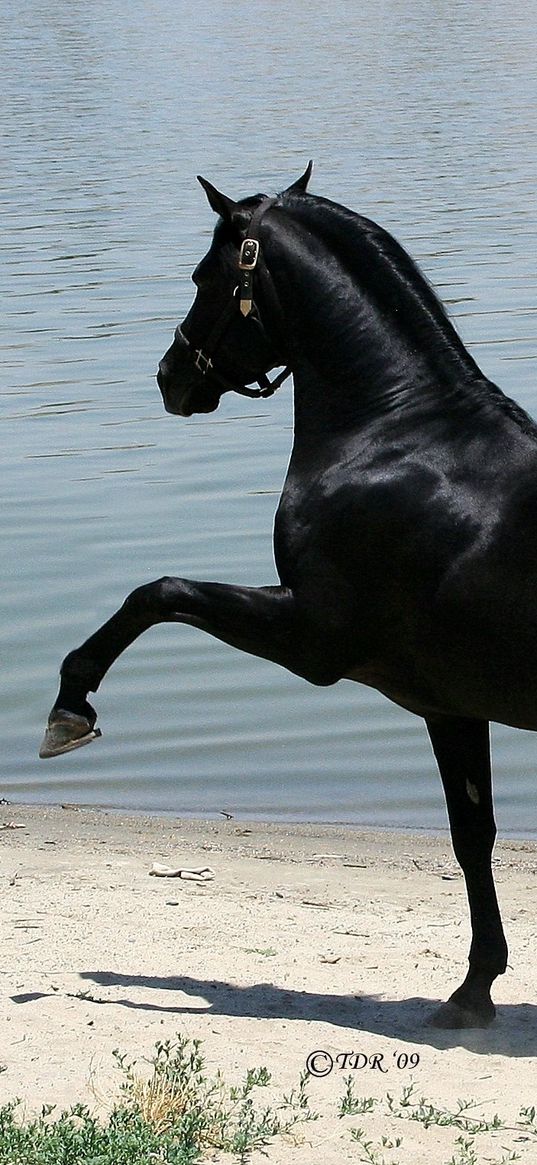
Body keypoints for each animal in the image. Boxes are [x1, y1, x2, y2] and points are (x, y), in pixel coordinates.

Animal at [41, 166, 535, 1029]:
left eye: (203, 277)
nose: (170, 376)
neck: (400, 434)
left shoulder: (310, 637)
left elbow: (156, 591)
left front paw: (71, 704)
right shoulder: (448, 704)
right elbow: (471, 833)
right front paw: (473, 987)